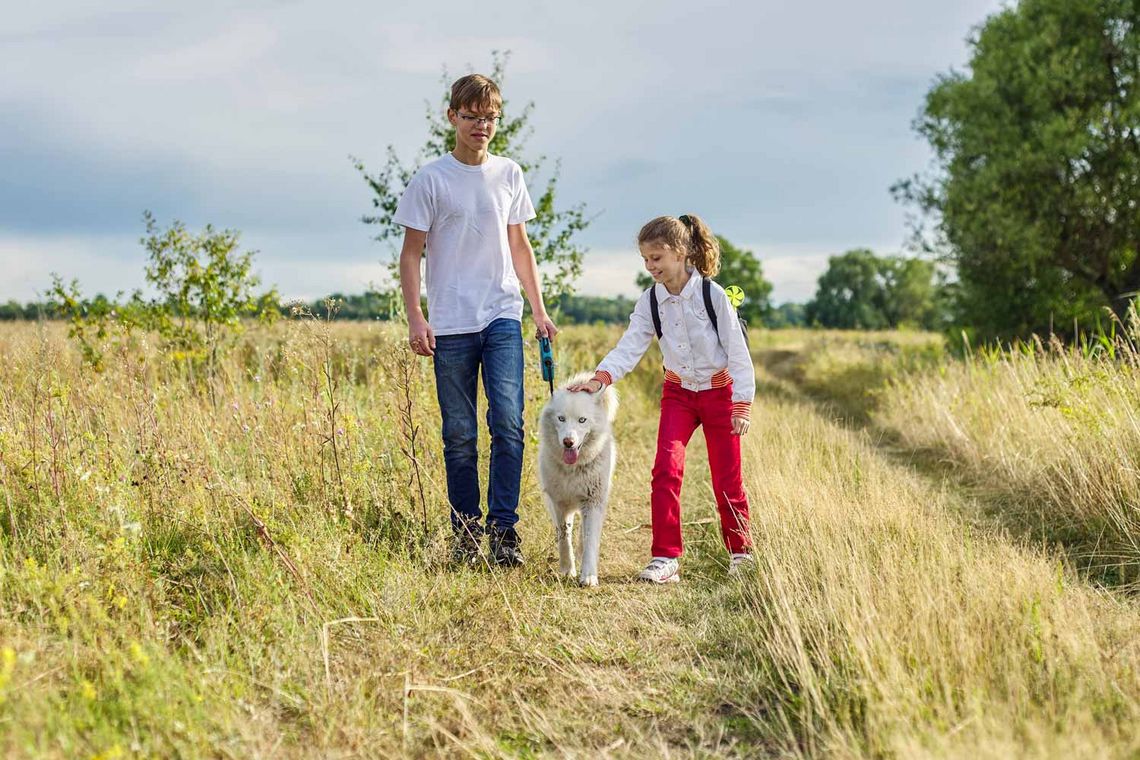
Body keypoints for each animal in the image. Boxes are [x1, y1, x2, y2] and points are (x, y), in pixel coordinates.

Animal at [538, 371, 620, 587]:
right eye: (561, 418)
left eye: (582, 420)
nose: (568, 442)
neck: (573, 470)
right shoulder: (558, 504)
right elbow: (563, 538)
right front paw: (568, 569)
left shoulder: (593, 502)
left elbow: (590, 540)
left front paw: (589, 576)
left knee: (586, 534)